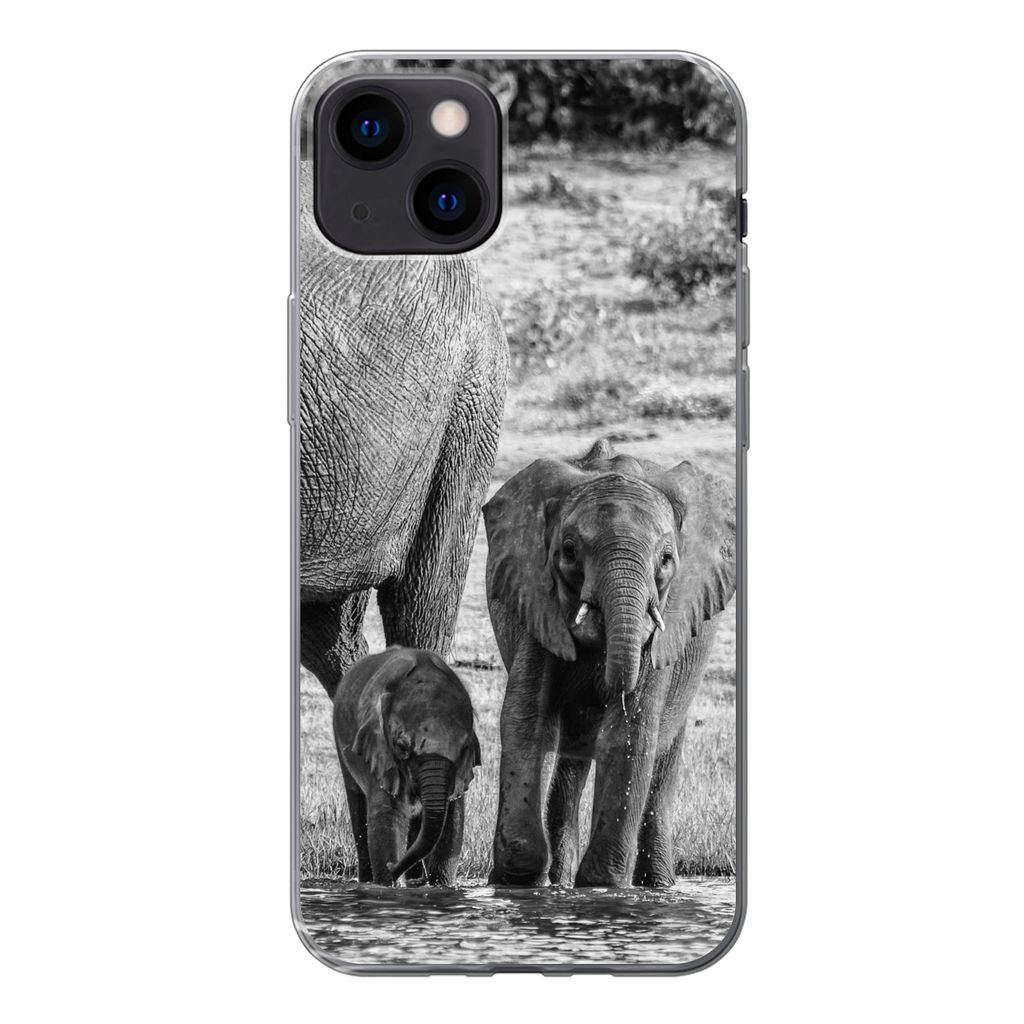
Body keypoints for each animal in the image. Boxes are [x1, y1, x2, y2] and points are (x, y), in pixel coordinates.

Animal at [333, 646, 482, 885]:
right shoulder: (381, 752)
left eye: (464, 748)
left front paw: (441, 887)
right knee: (356, 800)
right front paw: (391, 884)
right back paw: (369, 880)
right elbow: (389, 815)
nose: (392, 866)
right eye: (401, 747)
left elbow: (453, 819)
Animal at [483, 438, 735, 888]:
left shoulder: (665, 620)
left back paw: (657, 887)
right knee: (569, 762)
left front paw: (602, 884)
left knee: (661, 760)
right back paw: (559, 883)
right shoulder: (536, 597)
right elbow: (528, 718)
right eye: (568, 552)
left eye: (666, 559)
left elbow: (630, 731)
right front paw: (518, 878)